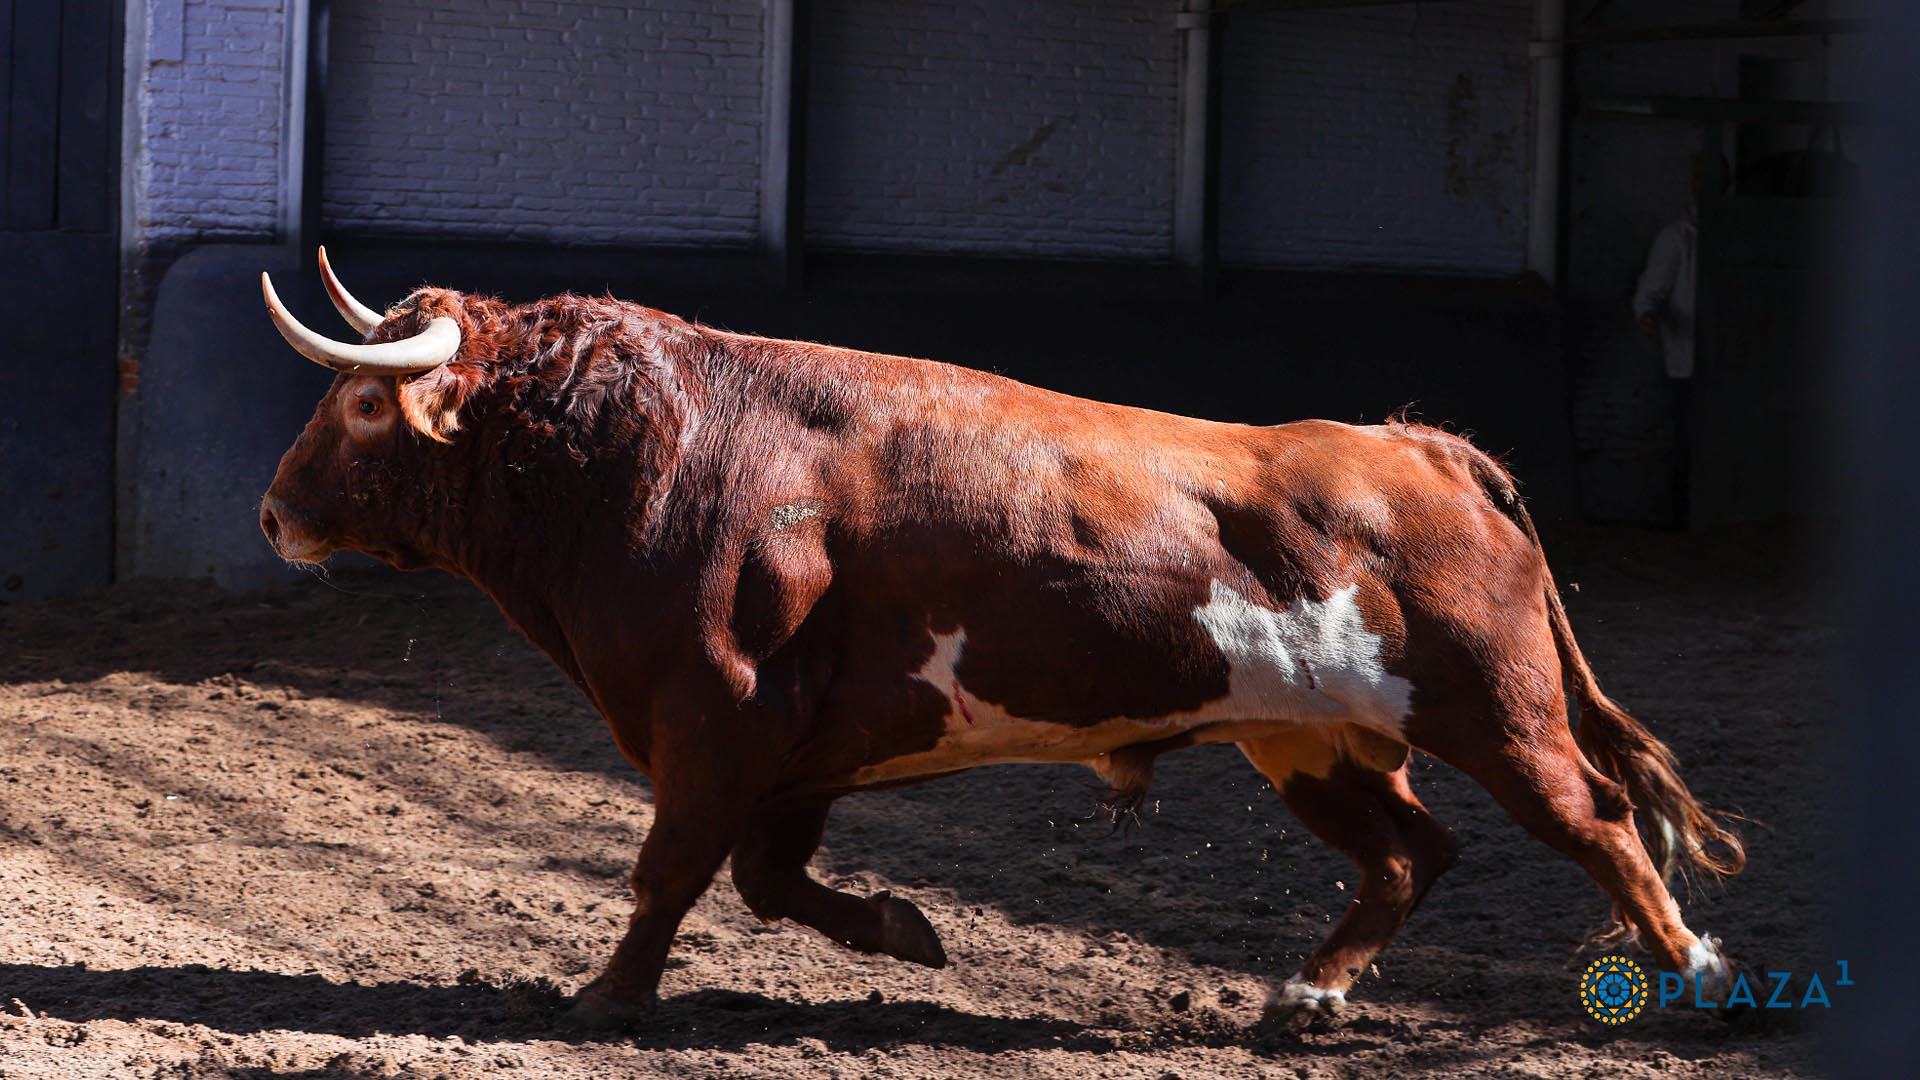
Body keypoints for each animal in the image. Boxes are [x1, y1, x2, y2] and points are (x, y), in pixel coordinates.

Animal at [257, 250, 1745, 1031]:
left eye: (367, 407)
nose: (274, 512)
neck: (651, 448)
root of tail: (1420, 449)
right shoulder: (796, 757)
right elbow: (765, 882)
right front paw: (906, 931)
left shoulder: (716, 722)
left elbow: (670, 871)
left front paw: (607, 999)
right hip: (1305, 739)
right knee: (1410, 853)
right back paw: (1309, 996)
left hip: (1497, 710)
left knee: (1600, 822)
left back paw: (1694, 972)